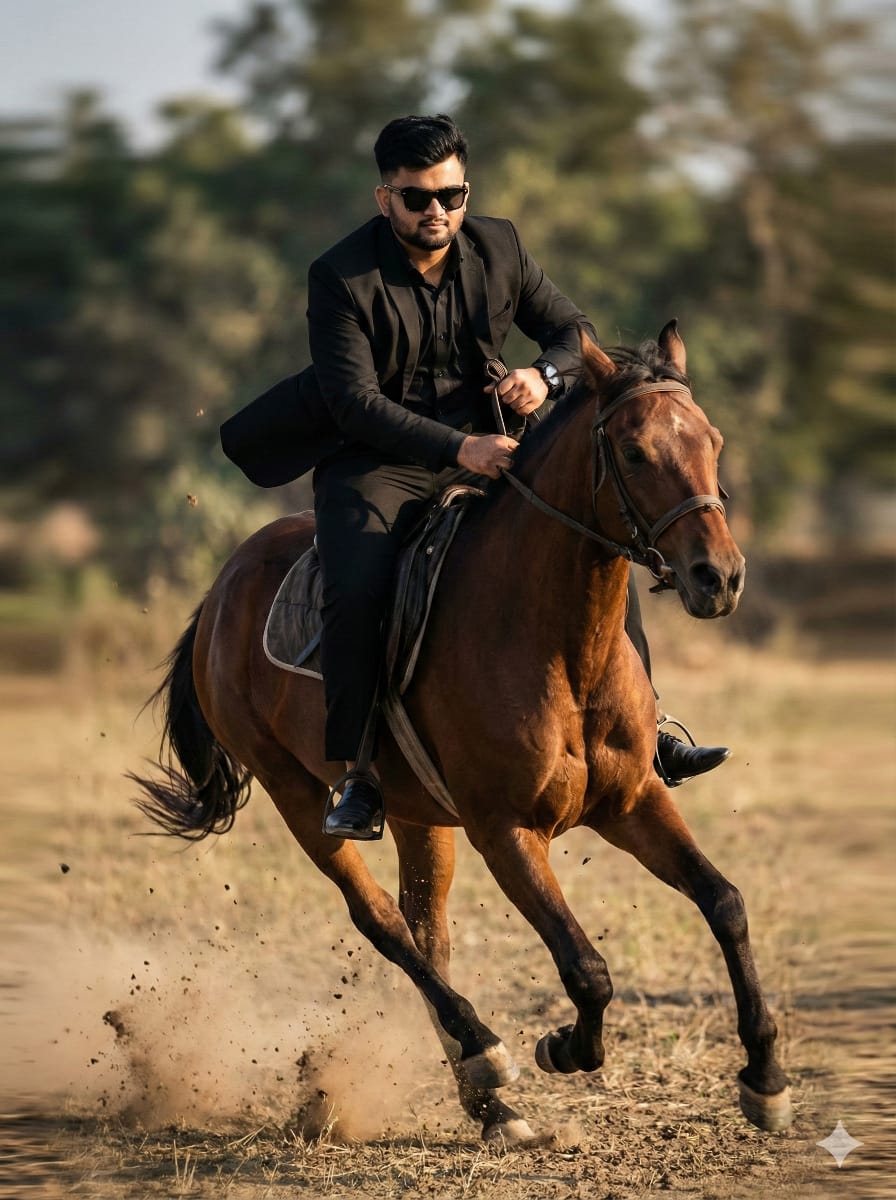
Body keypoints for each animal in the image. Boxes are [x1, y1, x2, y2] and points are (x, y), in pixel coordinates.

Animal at [133, 323, 792, 1143]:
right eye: (635, 452)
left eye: (713, 441)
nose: (720, 578)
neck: (556, 640)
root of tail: (223, 588)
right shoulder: (505, 829)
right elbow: (587, 970)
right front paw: (562, 1048)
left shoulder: (633, 801)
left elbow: (725, 903)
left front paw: (765, 1079)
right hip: (298, 797)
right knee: (383, 922)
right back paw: (487, 1053)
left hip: (418, 813)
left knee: (427, 931)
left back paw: (489, 1100)